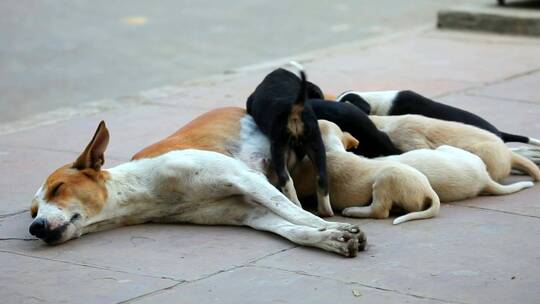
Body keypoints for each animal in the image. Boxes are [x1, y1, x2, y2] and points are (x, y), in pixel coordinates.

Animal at [246, 63, 334, 216]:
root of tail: (294, 107)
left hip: (278, 147)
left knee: (285, 178)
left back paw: (296, 204)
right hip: (316, 143)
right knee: (322, 177)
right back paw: (325, 211)